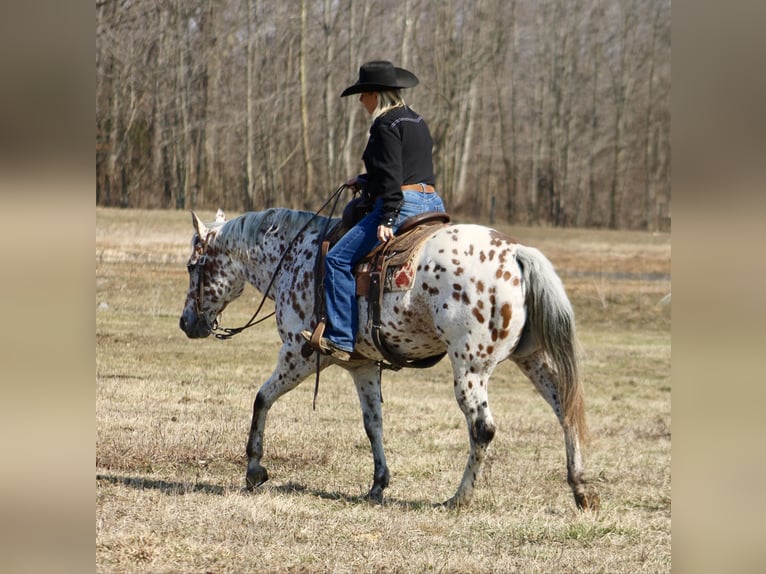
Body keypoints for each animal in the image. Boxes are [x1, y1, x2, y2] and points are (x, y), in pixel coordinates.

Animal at [180, 208, 600, 512]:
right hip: (531, 359)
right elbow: (373, 425)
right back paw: (580, 490)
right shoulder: (362, 366)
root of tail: (516, 254)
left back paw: (458, 499)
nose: (186, 323)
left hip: (470, 369)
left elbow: (262, 398)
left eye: (192, 266)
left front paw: (254, 469)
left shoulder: (299, 354)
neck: (294, 258)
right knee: (565, 410)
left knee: (482, 428)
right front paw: (377, 484)